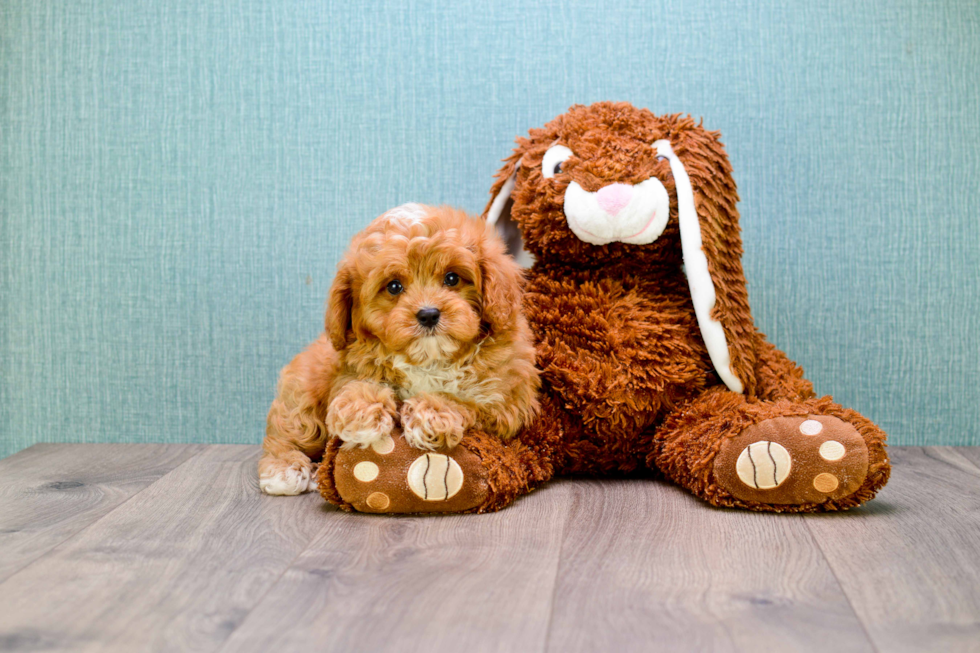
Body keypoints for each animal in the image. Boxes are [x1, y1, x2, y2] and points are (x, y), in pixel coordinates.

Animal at [256, 204, 540, 494]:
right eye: (394, 286)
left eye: (452, 278)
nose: (428, 314)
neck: (429, 359)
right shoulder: (347, 370)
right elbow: (357, 383)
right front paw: (359, 410)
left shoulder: (506, 404)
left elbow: (466, 402)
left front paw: (430, 413)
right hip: (302, 398)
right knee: (287, 432)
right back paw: (284, 469)